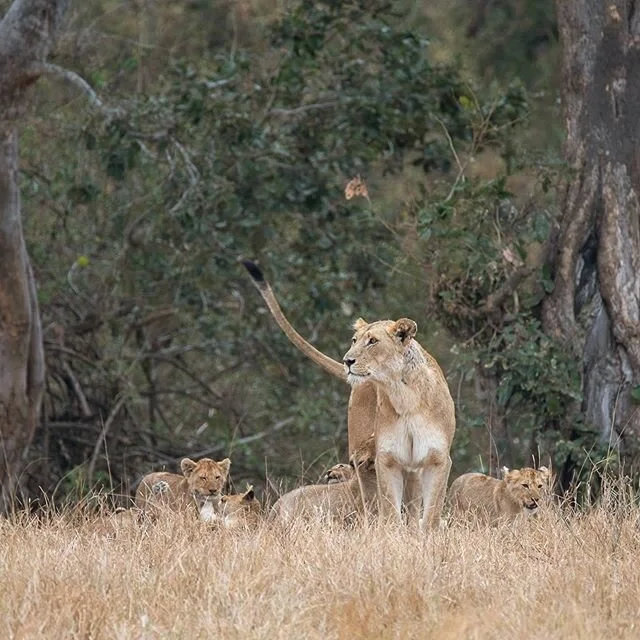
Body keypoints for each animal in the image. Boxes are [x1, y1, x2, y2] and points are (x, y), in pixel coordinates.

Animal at [243, 260, 456, 530]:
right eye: (354, 340)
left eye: (372, 341)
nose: (347, 361)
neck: (403, 395)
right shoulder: (387, 460)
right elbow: (389, 511)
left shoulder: (437, 459)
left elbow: (431, 513)